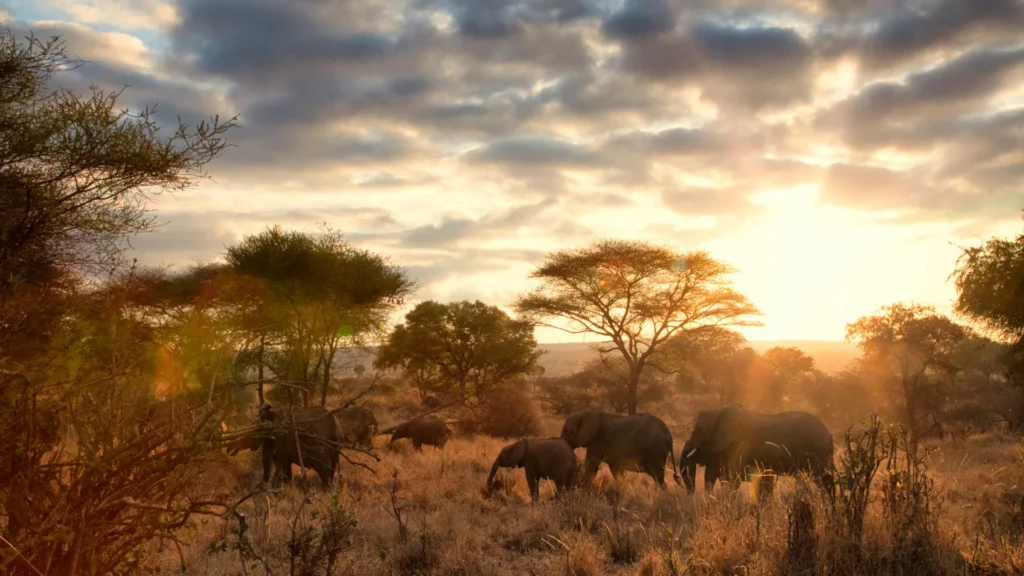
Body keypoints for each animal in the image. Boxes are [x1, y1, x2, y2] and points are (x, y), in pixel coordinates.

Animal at [680, 406, 834, 500]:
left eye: (698, 430)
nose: (690, 495)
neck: (718, 410)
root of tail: (828, 433)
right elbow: (715, 474)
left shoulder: (742, 443)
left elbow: (733, 476)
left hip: (818, 451)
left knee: (823, 479)